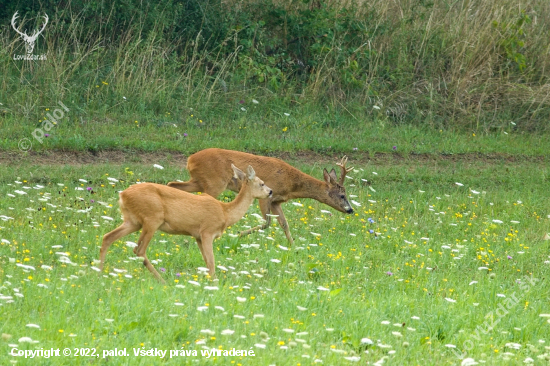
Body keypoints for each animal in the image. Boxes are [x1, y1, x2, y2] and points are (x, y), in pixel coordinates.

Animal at [101, 164, 274, 282]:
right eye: (262, 183)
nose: (271, 191)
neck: (225, 213)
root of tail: (122, 195)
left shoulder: (197, 236)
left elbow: (207, 262)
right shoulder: (207, 231)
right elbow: (212, 262)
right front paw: (214, 284)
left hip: (133, 221)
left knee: (108, 237)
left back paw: (99, 272)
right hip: (152, 218)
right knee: (139, 250)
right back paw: (162, 281)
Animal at [168, 147, 356, 244]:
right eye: (342, 195)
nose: (351, 210)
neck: (292, 184)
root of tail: (190, 159)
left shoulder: (277, 201)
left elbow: (284, 224)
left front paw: (293, 246)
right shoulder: (267, 196)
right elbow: (267, 222)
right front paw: (240, 234)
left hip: (199, 181)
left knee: (173, 185)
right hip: (214, 183)